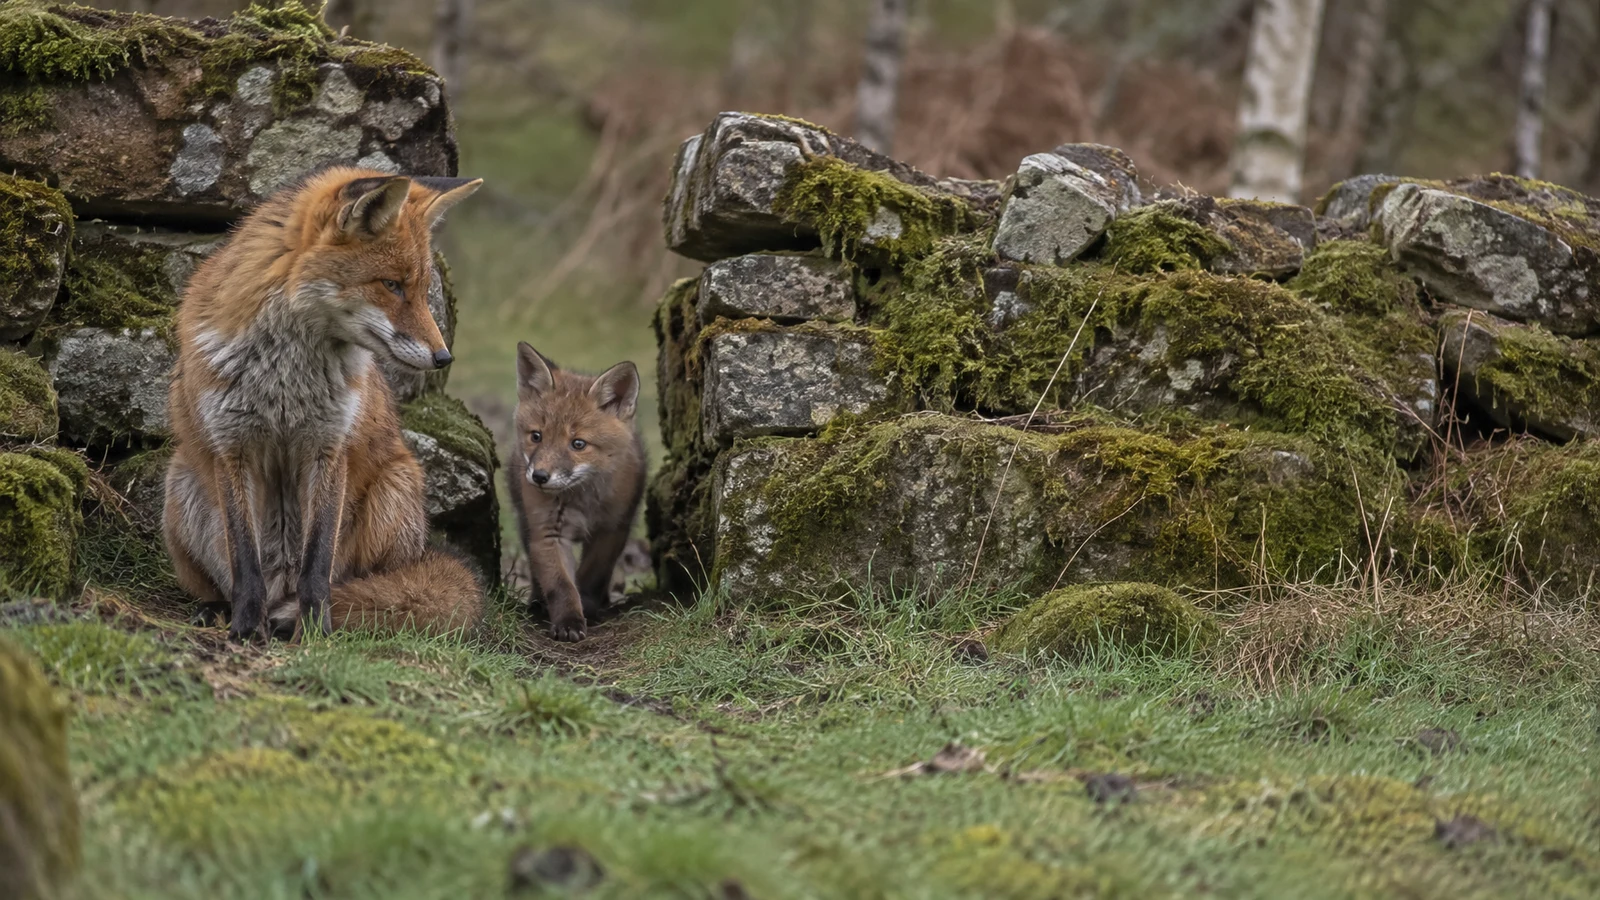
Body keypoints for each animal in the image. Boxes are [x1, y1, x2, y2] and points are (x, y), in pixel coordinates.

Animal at [161, 166, 485, 642]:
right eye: (392, 285)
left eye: (425, 289)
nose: (444, 357)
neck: (286, 377)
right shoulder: (232, 447)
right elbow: (244, 561)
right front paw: (245, 627)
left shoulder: (328, 447)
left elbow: (316, 565)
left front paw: (314, 632)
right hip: (180, 481)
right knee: (230, 578)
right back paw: (220, 609)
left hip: (396, 487)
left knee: (361, 583)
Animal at [508, 342, 646, 642]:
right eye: (536, 436)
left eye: (578, 444)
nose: (539, 477)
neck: (582, 499)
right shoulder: (547, 533)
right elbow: (561, 585)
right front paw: (568, 621)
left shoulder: (612, 529)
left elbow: (592, 576)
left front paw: (589, 608)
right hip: (525, 522)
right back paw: (538, 602)